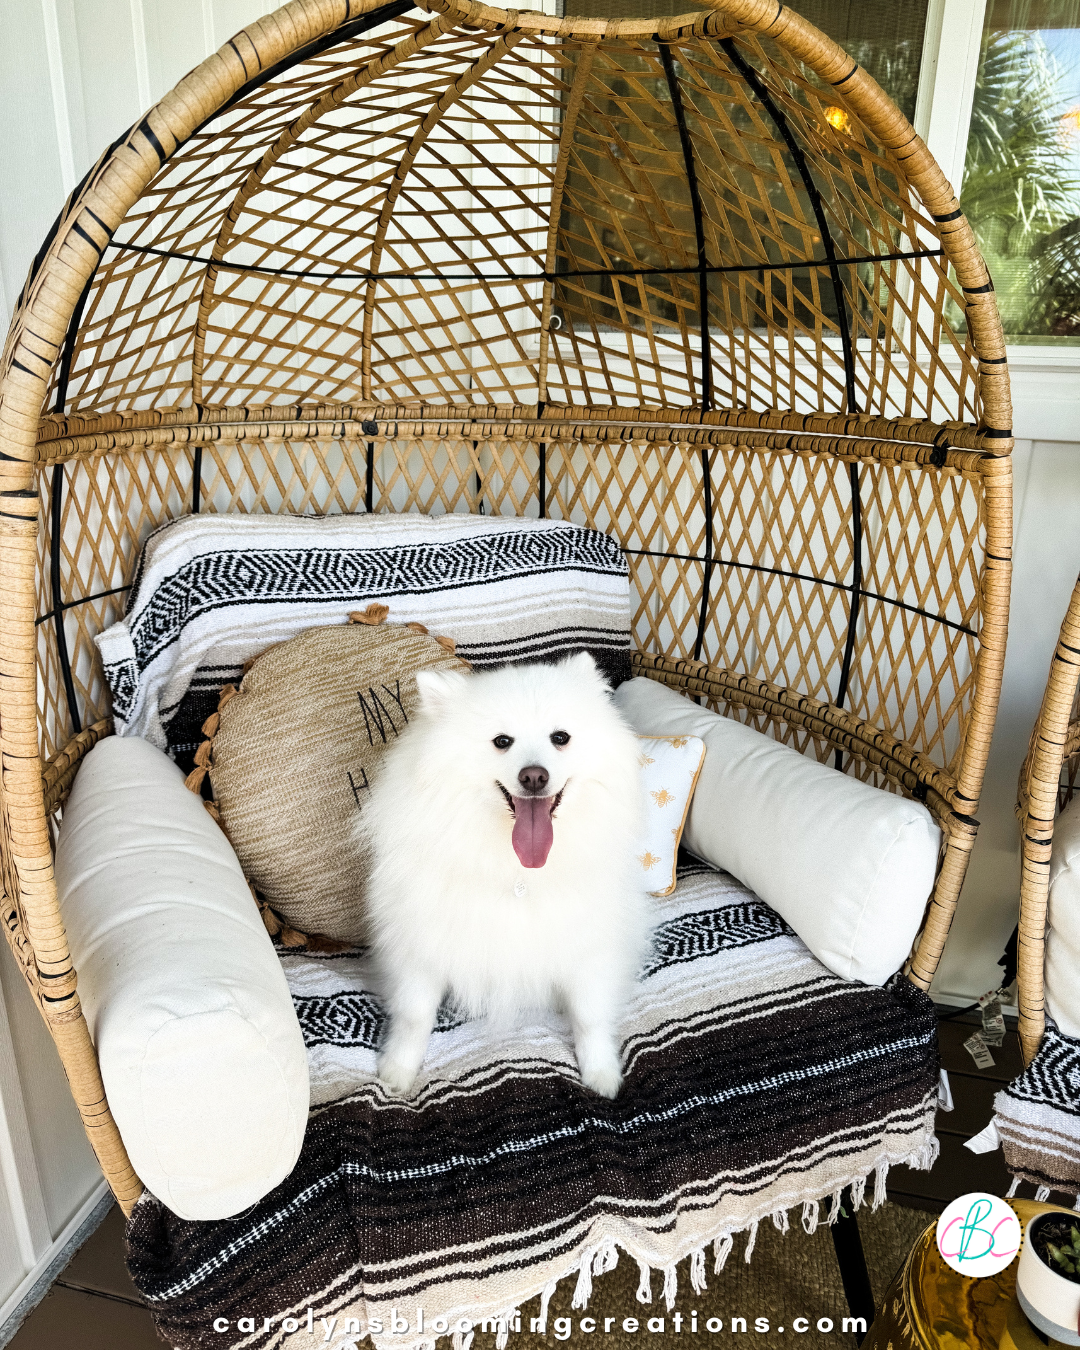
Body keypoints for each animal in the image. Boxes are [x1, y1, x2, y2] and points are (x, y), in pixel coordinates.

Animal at [361, 650, 650, 1096]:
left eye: (560, 737)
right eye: (502, 742)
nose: (534, 776)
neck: (519, 871)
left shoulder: (588, 943)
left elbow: (589, 1015)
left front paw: (601, 1073)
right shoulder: (422, 943)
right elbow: (414, 1014)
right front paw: (398, 1071)